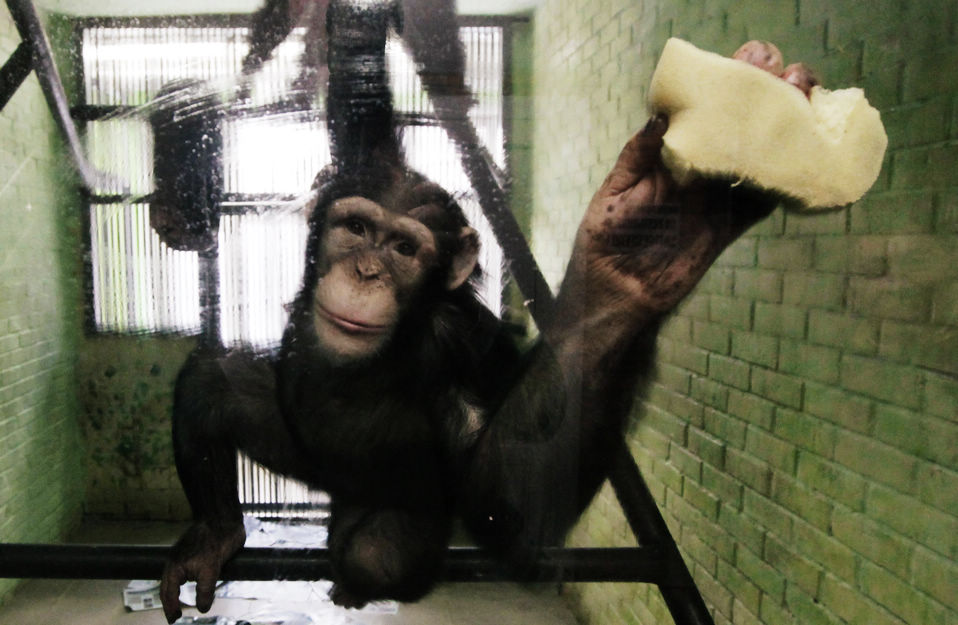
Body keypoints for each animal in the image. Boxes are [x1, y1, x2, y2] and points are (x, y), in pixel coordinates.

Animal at [161, 2, 784, 620]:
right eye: (357, 228)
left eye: (403, 249)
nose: (366, 273)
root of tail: (336, 492)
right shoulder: (365, 159)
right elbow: (360, 95)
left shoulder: (465, 343)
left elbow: (506, 499)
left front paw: (633, 262)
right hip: (300, 452)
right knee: (213, 383)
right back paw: (216, 533)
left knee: (374, 552)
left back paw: (353, 579)